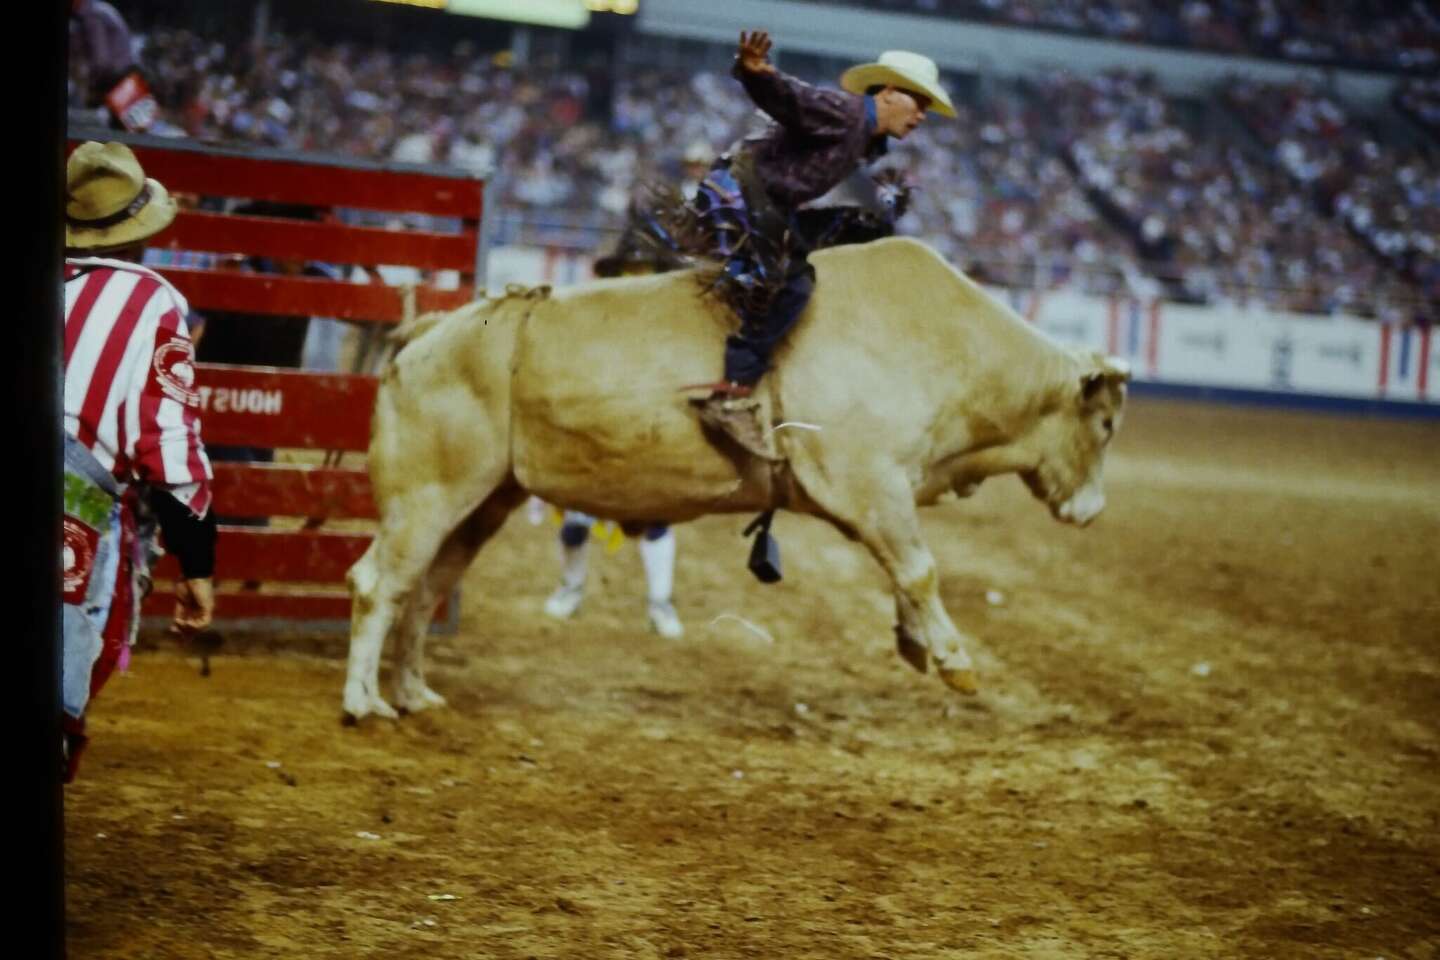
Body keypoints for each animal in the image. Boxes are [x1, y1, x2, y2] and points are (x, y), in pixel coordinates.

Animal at [342, 236, 1129, 722]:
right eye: (1106, 424)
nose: (1093, 510)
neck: (945, 346)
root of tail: (431, 332)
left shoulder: (889, 495)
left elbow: (908, 573)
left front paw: (917, 643)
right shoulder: (869, 484)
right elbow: (920, 569)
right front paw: (956, 661)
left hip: (484, 500)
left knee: (426, 588)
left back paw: (412, 694)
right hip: (426, 495)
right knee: (379, 583)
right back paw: (362, 703)